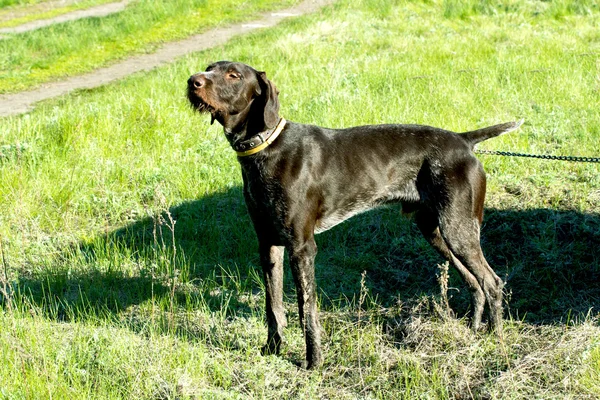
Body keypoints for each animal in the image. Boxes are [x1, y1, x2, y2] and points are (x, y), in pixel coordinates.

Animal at [188, 61, 520, 370]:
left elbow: (306, 309)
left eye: (233, 75)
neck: (265, 146)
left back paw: (497, 340)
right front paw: (272, 349)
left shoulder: (302, 248)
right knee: (474, 283)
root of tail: (463, 140)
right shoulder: (268, 243)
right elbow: (274, 306)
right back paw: (474, 330)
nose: (193, 81)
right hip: (436, 231)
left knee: (492, 282)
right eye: (209, 68)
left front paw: (314, 362)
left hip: (458, 229)